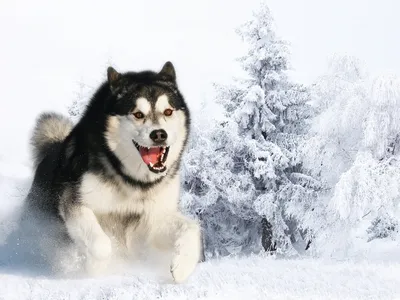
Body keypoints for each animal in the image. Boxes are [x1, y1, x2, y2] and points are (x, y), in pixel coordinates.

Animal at [23, 62, 202, 282]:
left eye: (168, 111)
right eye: (138, 114)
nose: (159, 134)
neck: (132, 180)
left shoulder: (151, 219)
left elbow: (192, 229)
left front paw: (182, 266)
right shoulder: (75, 202)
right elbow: (101, 245)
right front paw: (93, 268)